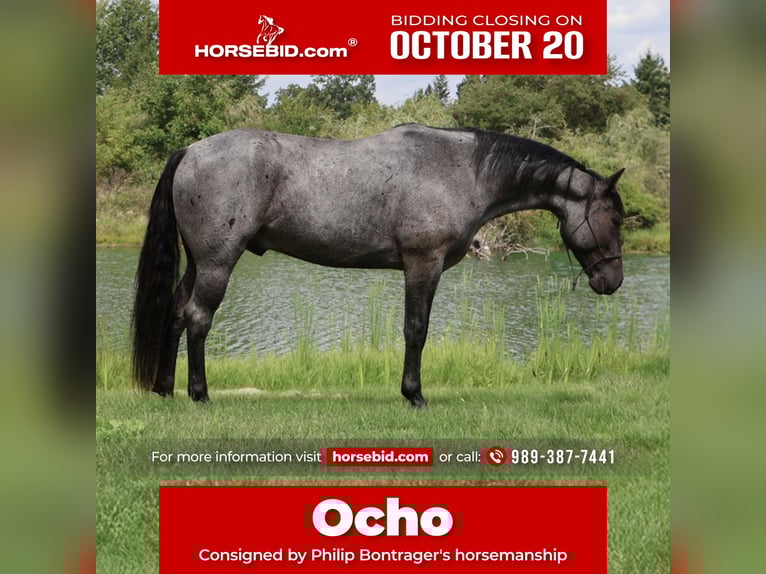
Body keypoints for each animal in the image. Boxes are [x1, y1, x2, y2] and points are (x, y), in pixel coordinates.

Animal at [132, 124, 626, 407]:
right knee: (198, 318)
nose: (613, 280)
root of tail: (190, 151)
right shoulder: (423, 264)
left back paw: (165, 388)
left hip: (199, 262)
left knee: (176, 312)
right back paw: (199, 394)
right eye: (616, 217)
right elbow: (416, 330)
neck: (463, 169)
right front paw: (414, 395)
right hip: (218, 261)